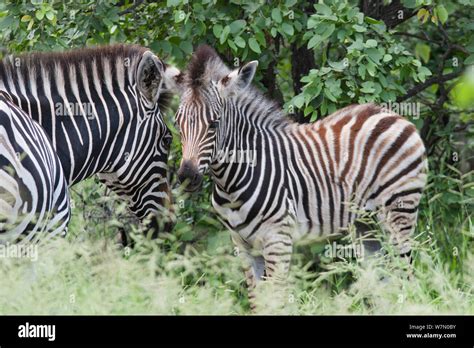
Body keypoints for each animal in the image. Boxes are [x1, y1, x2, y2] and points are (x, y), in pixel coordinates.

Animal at [171, 46, 430, 308]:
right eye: (177, 123)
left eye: (214, 124)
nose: (187, 176)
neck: (231, 182)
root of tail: (392, 114)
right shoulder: (242, 244)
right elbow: (257, 300)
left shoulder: (279, 239)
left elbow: (276, 298)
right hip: (364, 223)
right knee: (383, 281)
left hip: (399, 209)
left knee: (406, 276)